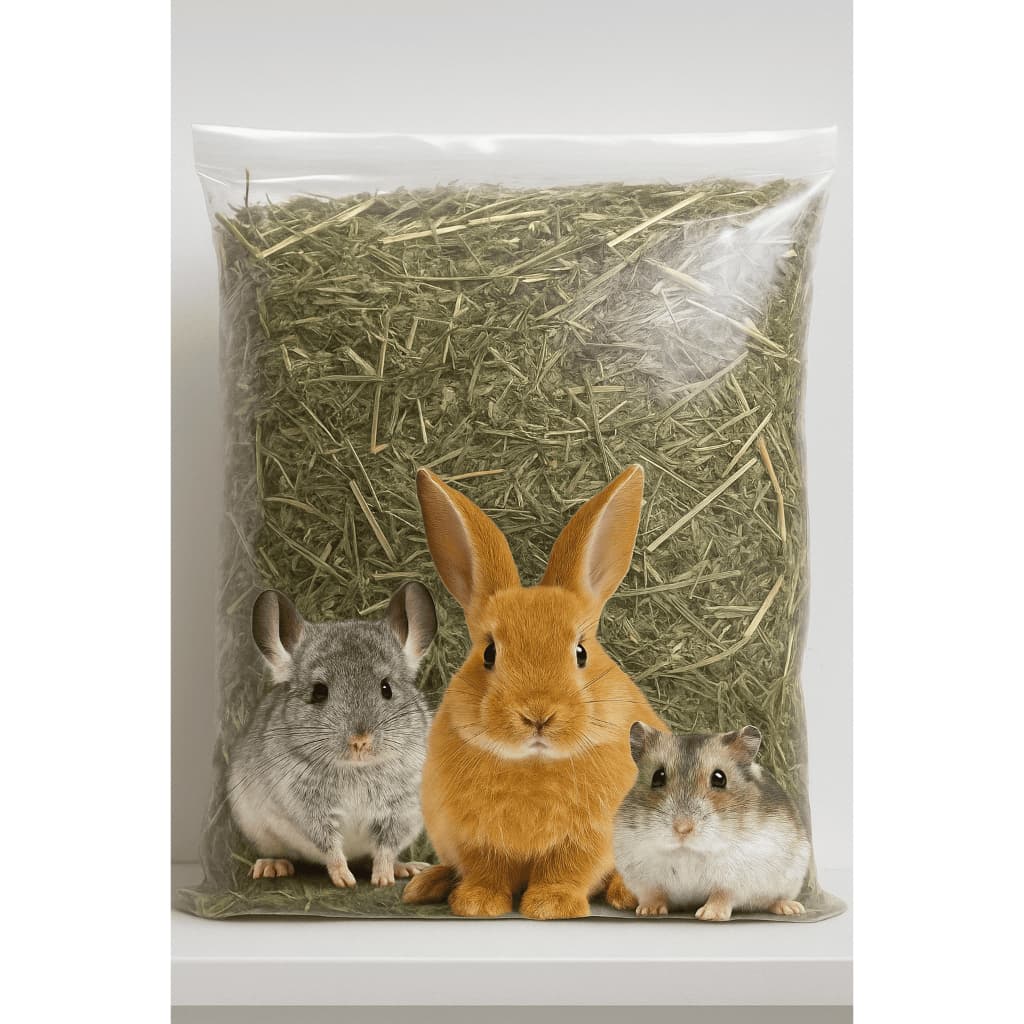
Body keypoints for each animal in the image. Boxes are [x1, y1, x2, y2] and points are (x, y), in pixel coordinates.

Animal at [228, 581, 437, 888]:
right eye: (319, 692)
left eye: (386, 688)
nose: (360, 741)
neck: (356, 770)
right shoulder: (306, 809)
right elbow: (330, 847)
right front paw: (344, 880)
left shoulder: (402, 810)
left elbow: (385, 848)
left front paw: (384, 878)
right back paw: (272, 865)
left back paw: (406, 868)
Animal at [613, 722, 810, 921]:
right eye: (657, 776)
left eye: (719, 778)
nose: (682, 829)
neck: (689, 851)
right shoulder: (644, 877)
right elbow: (654, 894)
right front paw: (647, 911)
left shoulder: (735, 877)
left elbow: (721, 895)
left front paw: (709, 915)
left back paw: (793, 909)